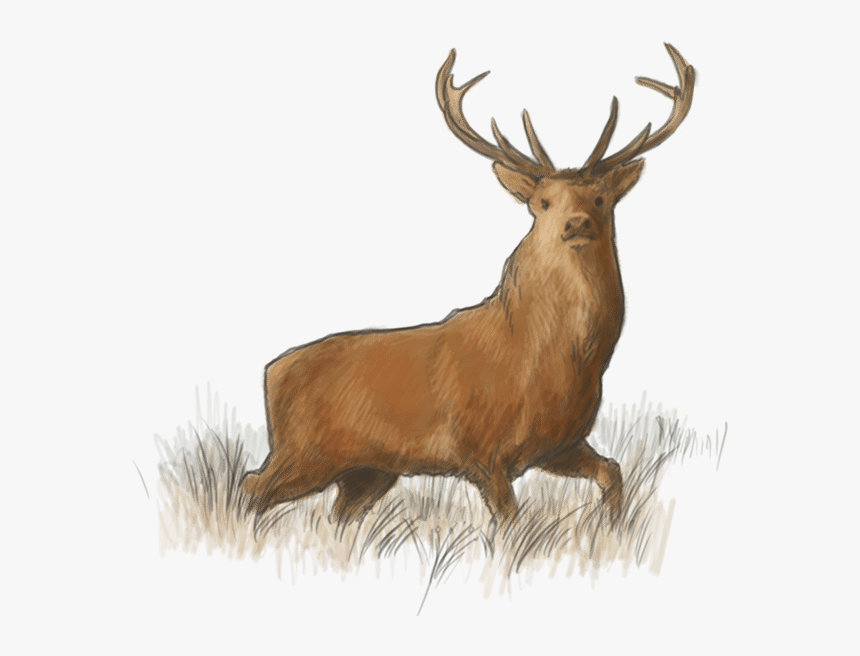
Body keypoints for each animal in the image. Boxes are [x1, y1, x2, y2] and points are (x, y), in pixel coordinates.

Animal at [242, 43, 695, 525]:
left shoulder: (561, 444)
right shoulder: (481, 450)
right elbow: (511, 525)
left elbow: (612, 470)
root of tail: (270, 373)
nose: (576, 223)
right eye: (542, 202)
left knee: (336, 516)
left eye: (600, 197)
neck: (549, 362)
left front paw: (611, 530)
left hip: (368, 471)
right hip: (304, 452)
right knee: (252, 487)